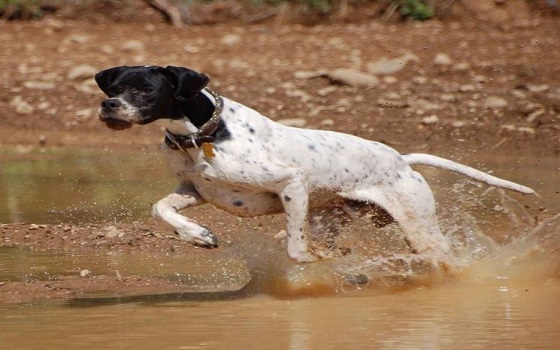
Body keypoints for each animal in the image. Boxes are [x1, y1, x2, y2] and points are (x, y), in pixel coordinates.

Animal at [94, 65, 536, 262]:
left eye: (145, 90)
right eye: (114, 87)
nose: (108, 105)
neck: (204, 135)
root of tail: (401, 160)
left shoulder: (292, 183)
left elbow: (295, 249)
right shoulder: (195, 192)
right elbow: (161, 208)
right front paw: (197, 235)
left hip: (418, 225)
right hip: (332, 218)